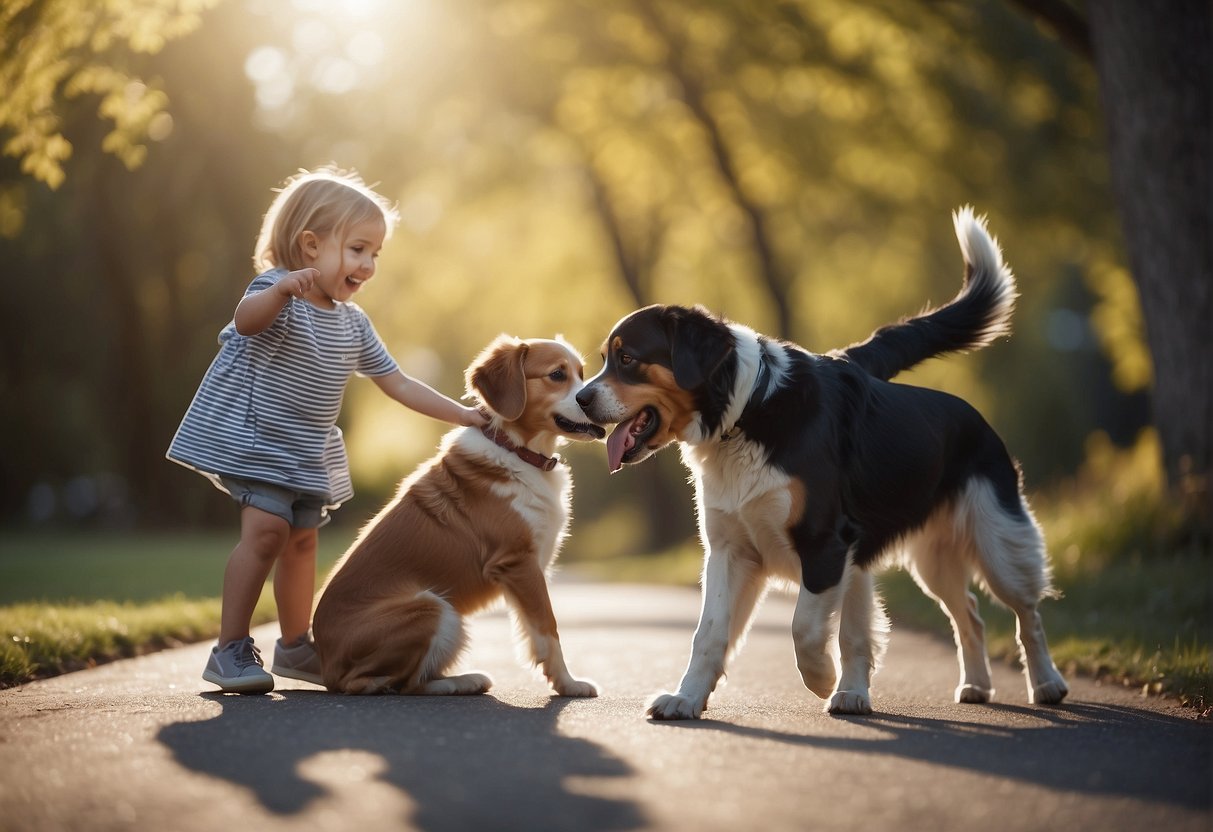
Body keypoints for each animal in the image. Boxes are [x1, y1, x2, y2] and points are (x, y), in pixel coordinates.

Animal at [308, 337, 601, 698]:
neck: (516, 450)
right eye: (557, 374)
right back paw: (440, 683)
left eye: (581, 373)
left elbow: (535, 632)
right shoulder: (518, 562)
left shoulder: (526, 570)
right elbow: (549, 629)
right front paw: (569, 684)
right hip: (433, 607)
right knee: (397, 685)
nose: (592, 399)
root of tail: (326, 664)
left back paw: (464, 681)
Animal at [572, 207, 1067, 717]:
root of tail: (975, 416)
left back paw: (1046, 683)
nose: (580, 399)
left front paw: (822, 679)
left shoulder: (825, 544)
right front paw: (686, 698)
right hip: (932, 559)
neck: (748, 411)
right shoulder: (731, 550)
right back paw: (967, 685)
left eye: (628, 359)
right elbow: (708, 635)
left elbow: (805, 629)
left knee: (1026, 613)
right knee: (967, 613)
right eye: (604, 359)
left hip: (997, 542)